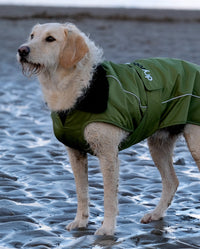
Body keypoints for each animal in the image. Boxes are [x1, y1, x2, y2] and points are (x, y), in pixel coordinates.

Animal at [16, 22, 200, 235]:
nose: (22, 50)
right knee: (171, 181)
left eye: (50, 39)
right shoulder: (75, 153)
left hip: (195, 144)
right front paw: (80, 222)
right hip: (158, 144)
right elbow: (82, 192)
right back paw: (155, 214)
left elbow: (109, 197)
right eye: (32, 36)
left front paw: (107, 229)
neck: (81, 87)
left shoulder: (108, 154)